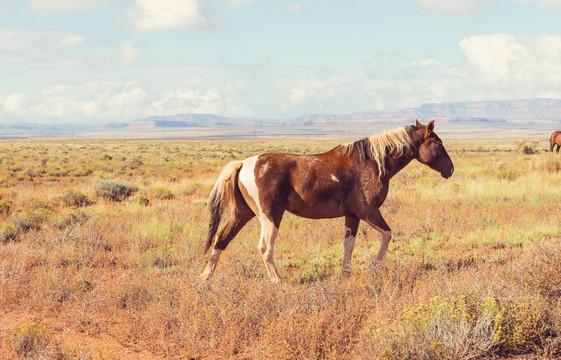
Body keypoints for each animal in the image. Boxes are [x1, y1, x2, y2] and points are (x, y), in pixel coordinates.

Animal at [201, 119, 456, 282]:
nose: (450, 170)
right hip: (270, 216)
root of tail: (243, 163)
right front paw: (375, 265)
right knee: (265, 247)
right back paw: (278, 281)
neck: (371, 162)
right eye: (439, 143)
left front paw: (346, 273)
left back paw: (205, 278)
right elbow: (387, 234)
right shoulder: (369, 212)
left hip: (242, 214)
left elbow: (348, 244)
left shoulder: (352, 215)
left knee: (221, 239)